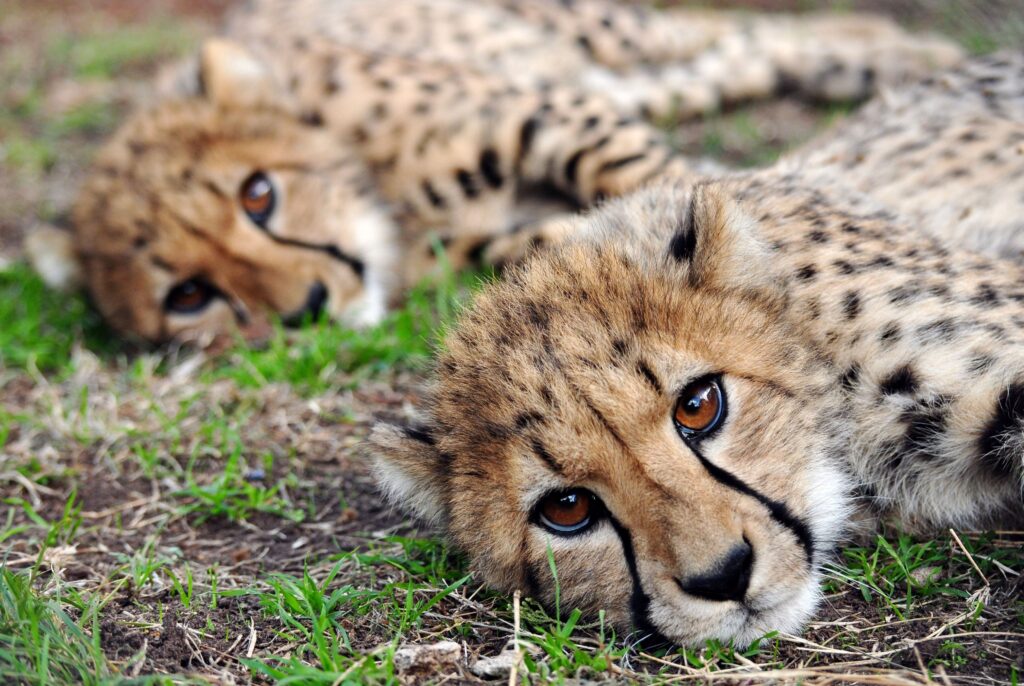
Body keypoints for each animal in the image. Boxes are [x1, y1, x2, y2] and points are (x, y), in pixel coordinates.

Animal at [27, 0, 962, 343]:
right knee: (724, 62)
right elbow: (573, 231)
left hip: (596, 36)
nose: (311, 305)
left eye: (259, 194)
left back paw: (890, 53)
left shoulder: (541, 111)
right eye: (189, 296)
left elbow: (634, 168)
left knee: (740, 35)